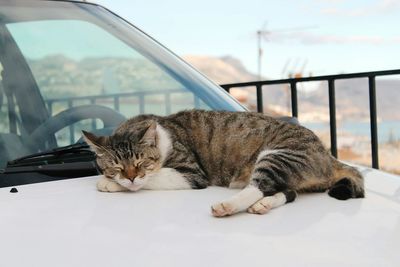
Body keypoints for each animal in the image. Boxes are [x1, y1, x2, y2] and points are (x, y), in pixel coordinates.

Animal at [83, 110, 364, 218]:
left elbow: (154, 178)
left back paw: (228, 205)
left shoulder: (192, 173)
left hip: (278, 156)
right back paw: (263, 205)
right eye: (117, 167)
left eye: (141, 163)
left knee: (257, 186)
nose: (130, 176)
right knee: (287, 191)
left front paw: (109, 184)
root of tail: (328, 155)